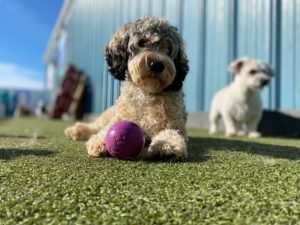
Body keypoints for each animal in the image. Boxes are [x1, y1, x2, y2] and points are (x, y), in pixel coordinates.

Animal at [64, 16, 189, 158]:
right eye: (142, 42)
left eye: (168, 49)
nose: (157, 64)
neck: (146, 92)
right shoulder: (120, 116)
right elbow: (107, 128)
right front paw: (100, 140)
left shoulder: (174, 123)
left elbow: (171, 132)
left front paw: (167, 145)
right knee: (96, 125)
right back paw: (76, 130)